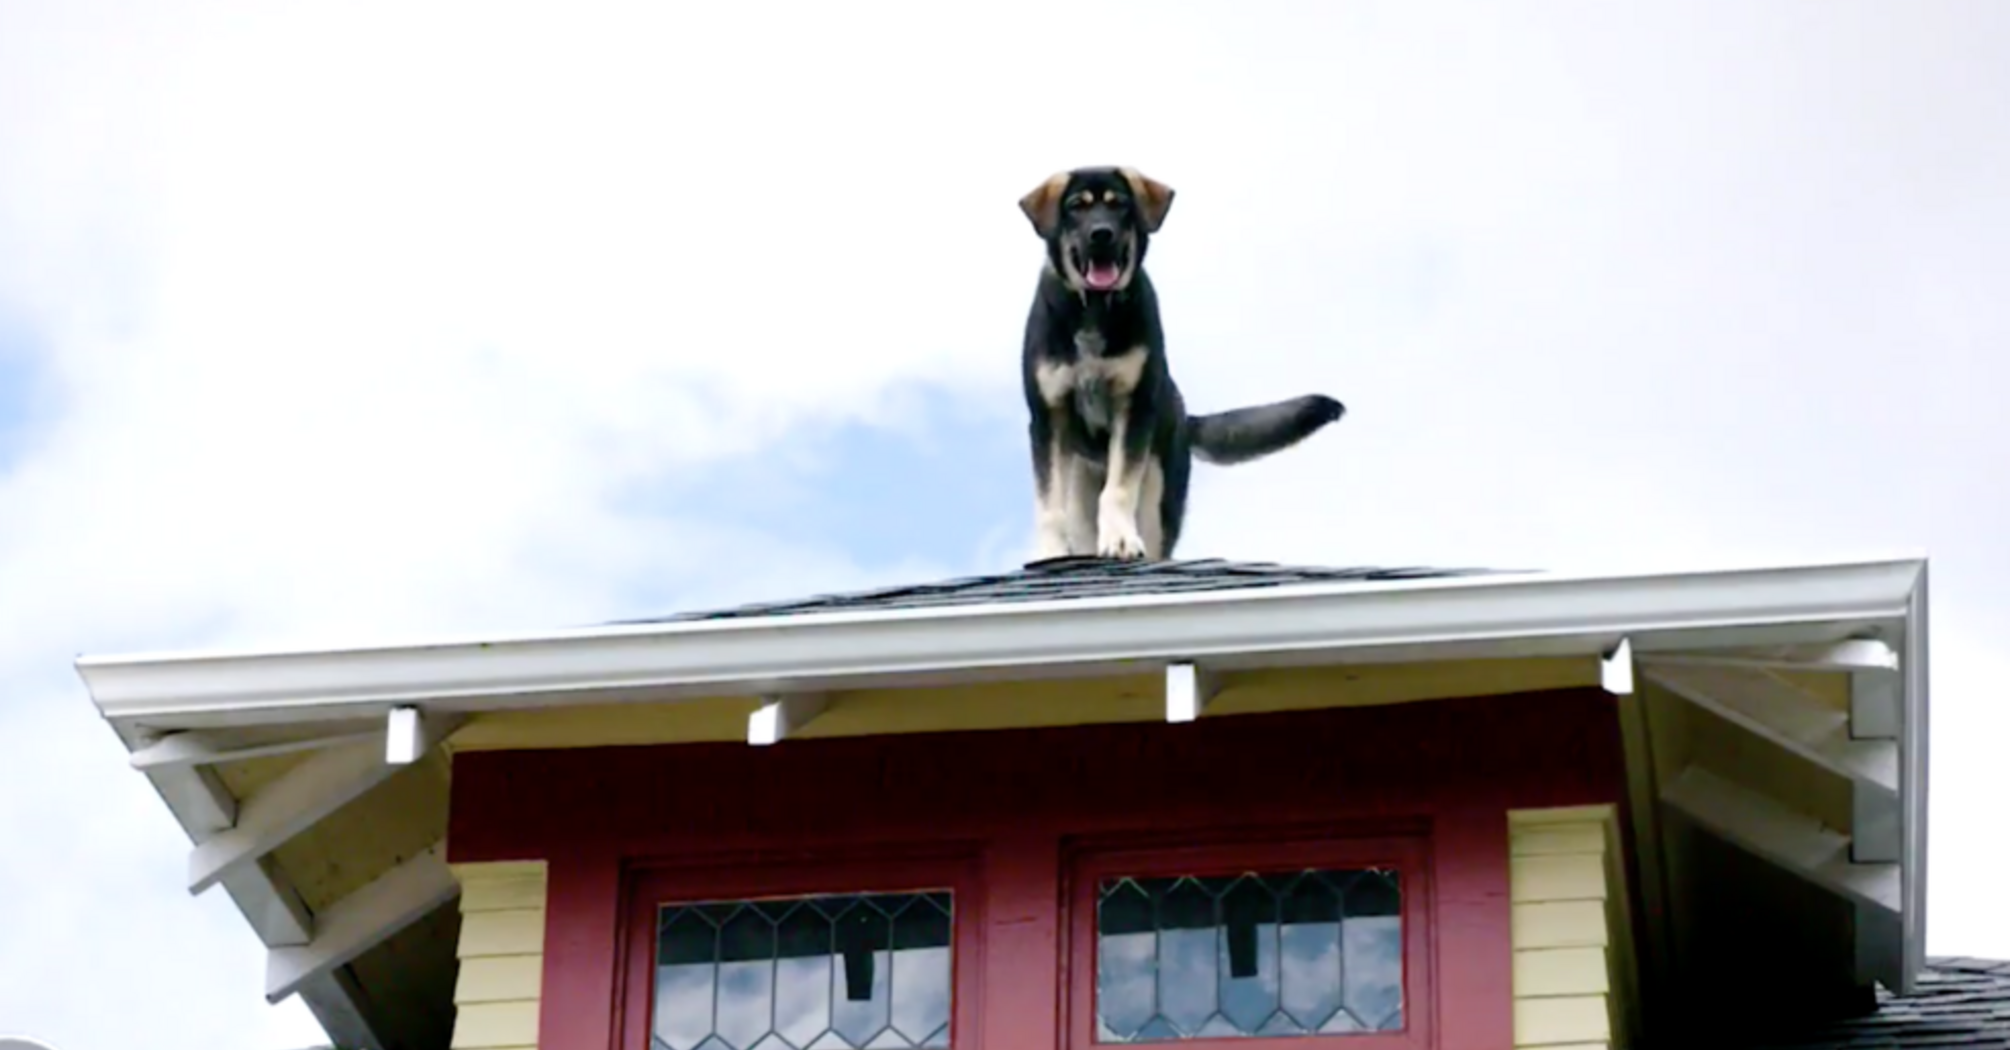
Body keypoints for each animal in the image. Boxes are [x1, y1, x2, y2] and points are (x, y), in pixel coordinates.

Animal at [1021, 169, 1350, 563]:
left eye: (1120, 205)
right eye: (1075, 207)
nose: (1102, 234)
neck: (1094, 310)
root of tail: (1183, 417)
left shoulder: (1133, 409)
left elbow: (1119, 489)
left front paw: (1120, 541)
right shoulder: (1048, 418)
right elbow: (1048, 505)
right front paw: (1050, 555)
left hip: (1158, 494)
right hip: (1080, 487)